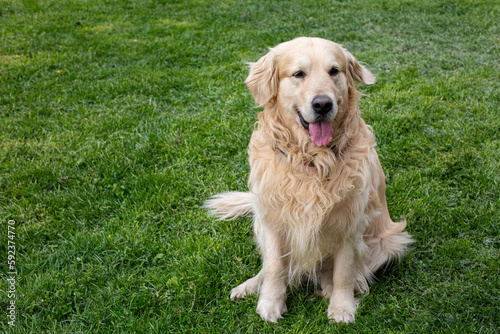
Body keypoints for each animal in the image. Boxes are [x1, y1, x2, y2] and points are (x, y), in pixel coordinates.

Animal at [205, 37, 412, 324]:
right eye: (298, 74)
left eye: (334, 71)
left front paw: (342, 307)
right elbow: (274, 266)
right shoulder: (273, 220)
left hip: (390, 241)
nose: (322, 104)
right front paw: (270, 302)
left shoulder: (350, 223)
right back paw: (248, 286)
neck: (313, 159)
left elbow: (344, 271)